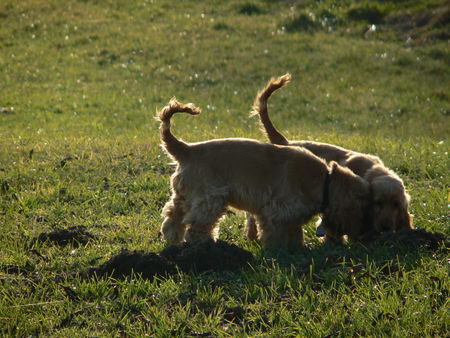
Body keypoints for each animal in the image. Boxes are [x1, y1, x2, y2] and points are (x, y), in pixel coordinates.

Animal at [156, 97, 370, 248]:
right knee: (196, 227)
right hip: (210, 199)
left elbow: (294, 232)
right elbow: (277, 235)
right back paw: (204, 244)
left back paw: (172, 240)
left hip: (184, 194)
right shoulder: (276, 210)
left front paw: (298, 248)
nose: (362, 238)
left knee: (172, 216)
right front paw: (280, 251)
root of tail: (187, 149)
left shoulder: (287, 215)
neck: (325, 180)